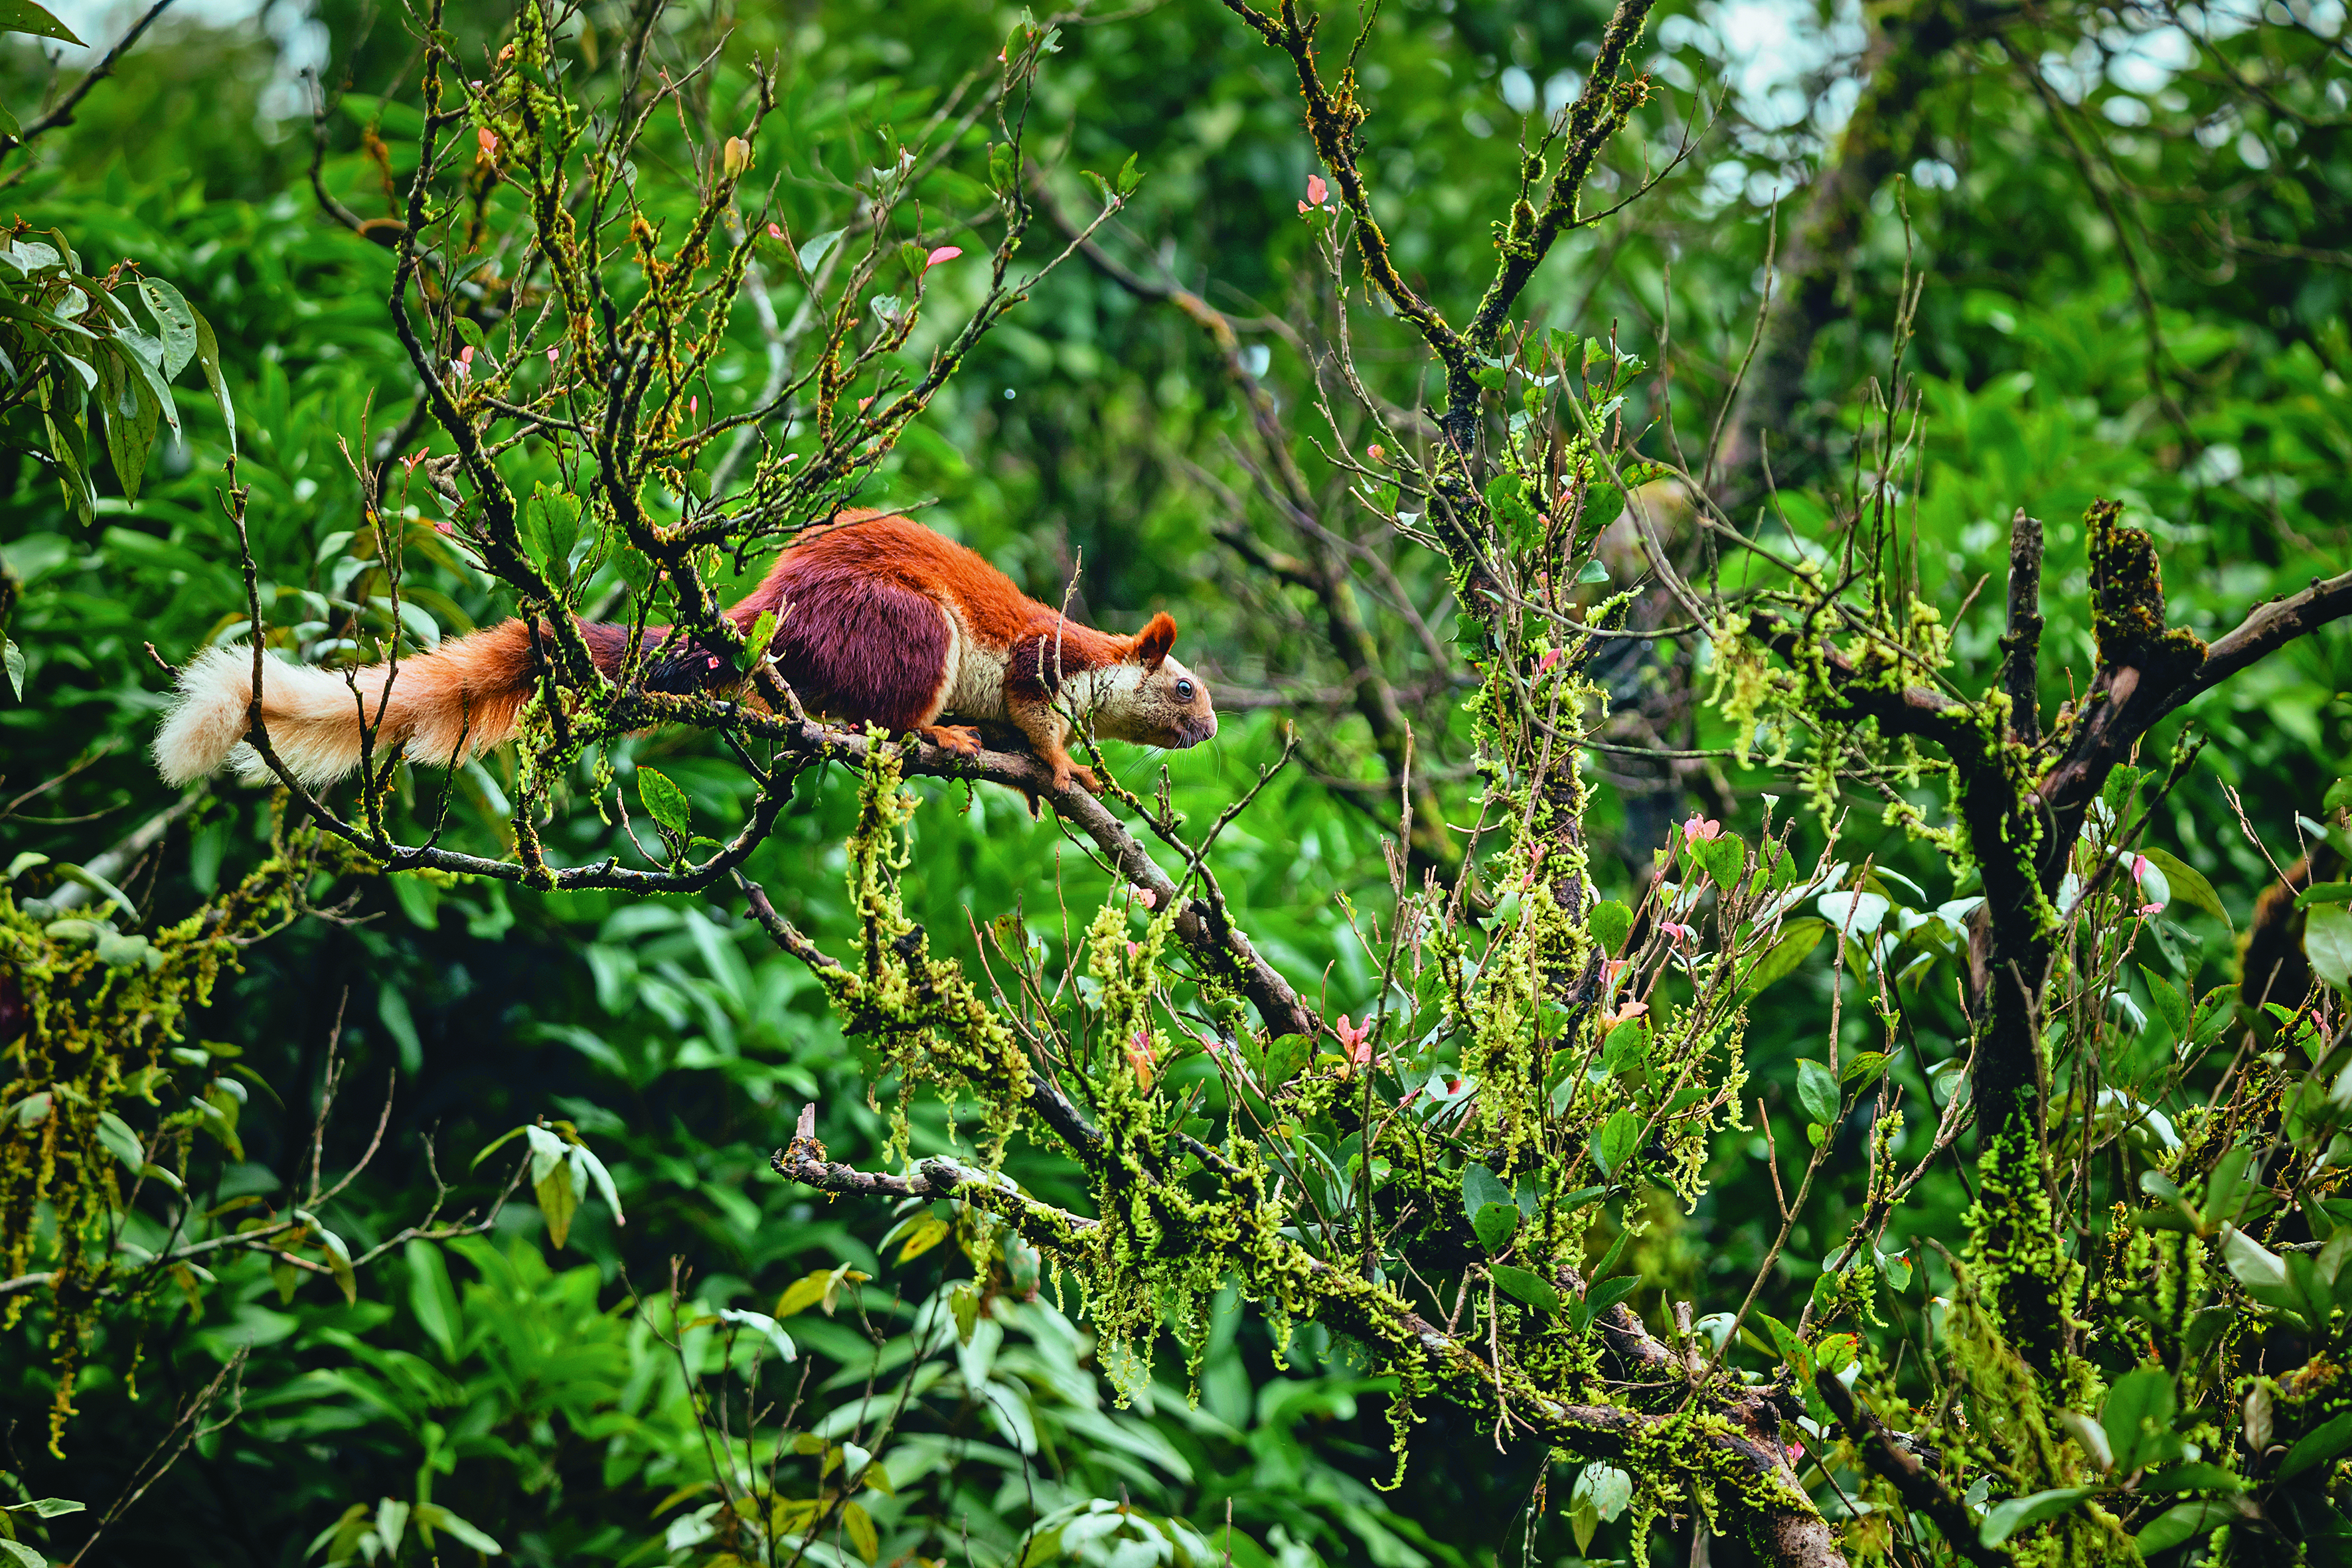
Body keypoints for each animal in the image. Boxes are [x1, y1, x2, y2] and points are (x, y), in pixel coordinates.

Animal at [153, 510, 1217, 796]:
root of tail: (769, 612)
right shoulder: (1042, 659)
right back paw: (934, 738)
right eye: (1184, 686)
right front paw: (1064, 766)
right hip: (908, 630)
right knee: (891, 708)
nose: (1208, 730)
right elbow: (1036, 717)